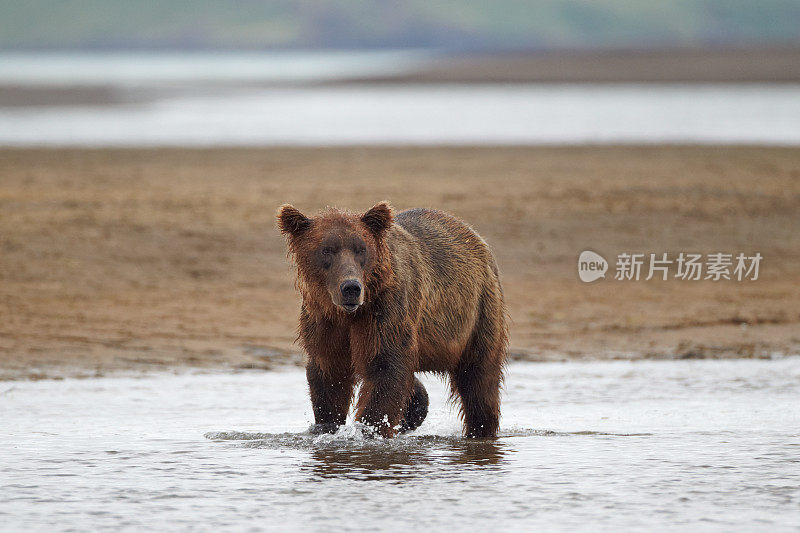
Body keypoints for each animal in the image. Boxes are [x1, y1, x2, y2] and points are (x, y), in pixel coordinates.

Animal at [278, 202, 510, 438]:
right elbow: (329, 373)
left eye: (361, 249)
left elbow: (386, 367)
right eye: (326, 250)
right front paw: (326, 425)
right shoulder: (324, 322)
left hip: (478, 311)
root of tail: (474, 235)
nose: (351, 288)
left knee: (478, 379)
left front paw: (369, 430)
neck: (348, 313)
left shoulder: (384, 310)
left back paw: (480, 429)